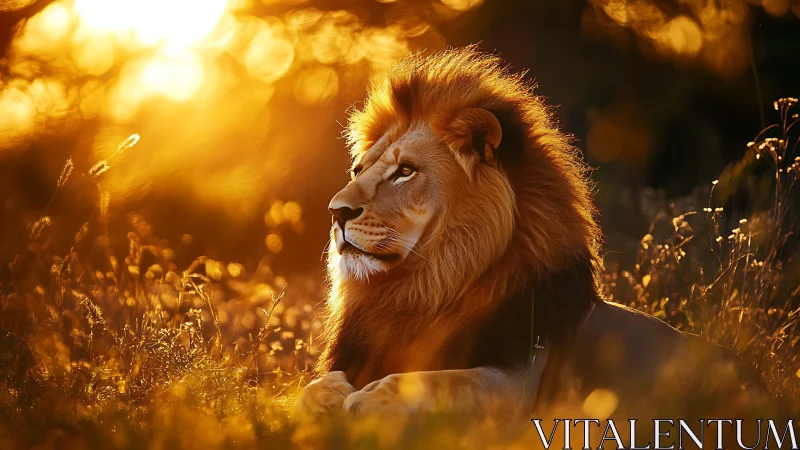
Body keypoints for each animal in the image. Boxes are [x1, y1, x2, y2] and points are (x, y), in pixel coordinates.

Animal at [295, 46, 770, 421]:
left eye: (406, 171)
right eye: (358, 170)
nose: (336, 212)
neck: (424, 289)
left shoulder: (518, 383)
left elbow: (437, 380)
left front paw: (369, 397)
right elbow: (307, 390)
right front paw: (330, 392)